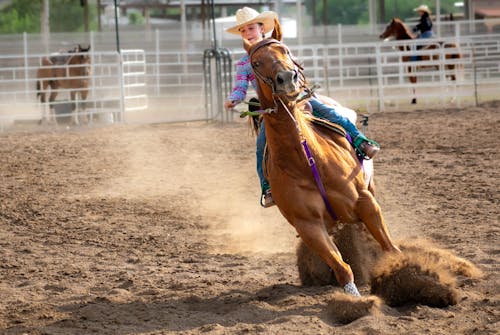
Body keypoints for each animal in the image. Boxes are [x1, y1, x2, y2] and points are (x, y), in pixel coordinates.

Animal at [248, 19, 400, 296]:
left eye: (285, 50)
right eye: (255, 63)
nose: (287, 79)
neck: (306, 160)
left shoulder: (366, 202)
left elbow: (390, 248)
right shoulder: (308, 225)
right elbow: (342, 268)